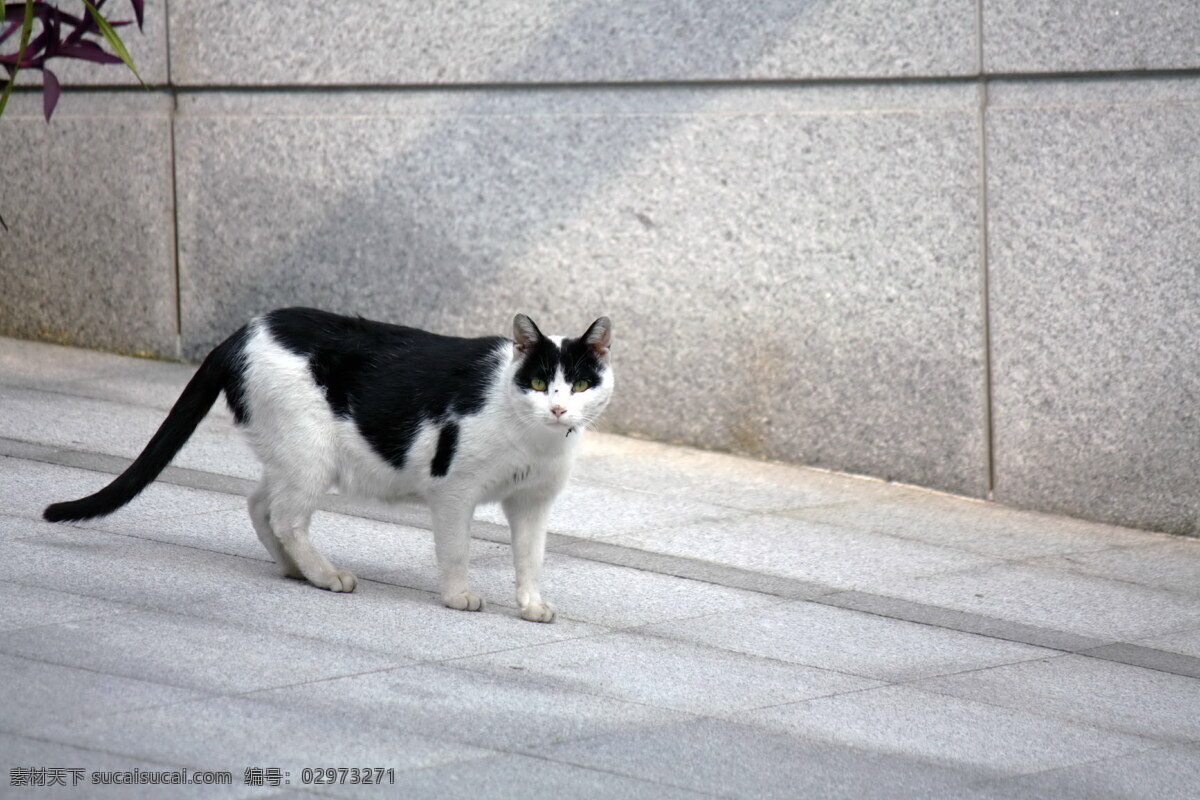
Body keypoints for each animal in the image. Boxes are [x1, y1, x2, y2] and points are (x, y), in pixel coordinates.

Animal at [43, 309, 614, 623]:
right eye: (538, 383)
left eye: (580, 384)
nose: (558, 409)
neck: (535, 439)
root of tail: (241, 334)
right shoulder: (454, 490)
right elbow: (456, 550)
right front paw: (458, 597)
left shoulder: (533, 502)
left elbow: (530, 558)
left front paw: (531, 605)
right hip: (309, 452)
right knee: (285, 517)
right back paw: (325, 575)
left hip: (291, 454)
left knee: (259, 505)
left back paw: (297, 571)